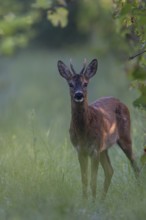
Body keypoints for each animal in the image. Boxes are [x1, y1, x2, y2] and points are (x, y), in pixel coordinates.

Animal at [57, 59, 139, 200]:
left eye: (85, 83)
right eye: (70, 84)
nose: (79, 95)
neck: (83, 132)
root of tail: (120, 101)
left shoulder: (94, 149)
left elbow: (93, 180)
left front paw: (92, 202)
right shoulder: (81, 150)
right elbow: (84, 180)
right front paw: (85, 202)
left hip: (125, 135)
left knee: (134, 163)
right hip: (104, 148)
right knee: (110, 170)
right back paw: (102, 200)